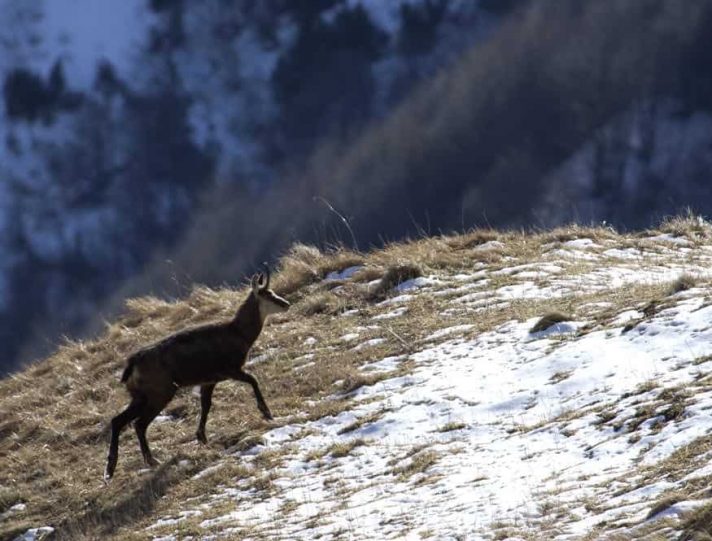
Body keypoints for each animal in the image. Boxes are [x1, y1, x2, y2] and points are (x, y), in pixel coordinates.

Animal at [104, 265, 290, 481]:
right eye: (267, 295)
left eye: (272, 292)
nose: (286, 304)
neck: (239, 333)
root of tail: (132, 364)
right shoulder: (228, 369)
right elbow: (253, 379)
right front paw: (266, 412)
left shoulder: (209, 380)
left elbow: (206, 405)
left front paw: (201, 437)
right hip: (161, 392)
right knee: (139, 424)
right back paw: (150, 461)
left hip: (140, 395)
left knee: (118, 421)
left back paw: (110, 469)